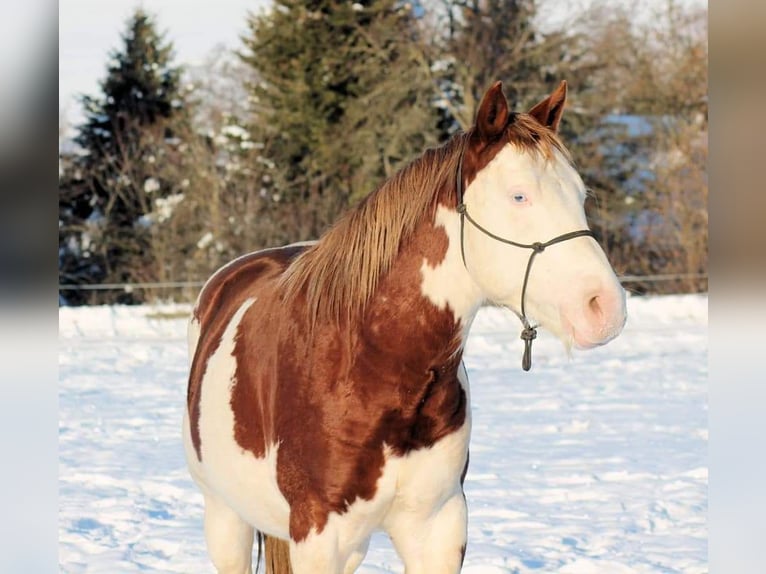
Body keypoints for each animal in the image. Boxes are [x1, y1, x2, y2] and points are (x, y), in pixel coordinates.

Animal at [183, 80, 627, 574]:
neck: (377, 366)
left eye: (580, 197)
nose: (605, 307)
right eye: (518, 196)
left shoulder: (439, 527)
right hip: (226, 519)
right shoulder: (318, 537)